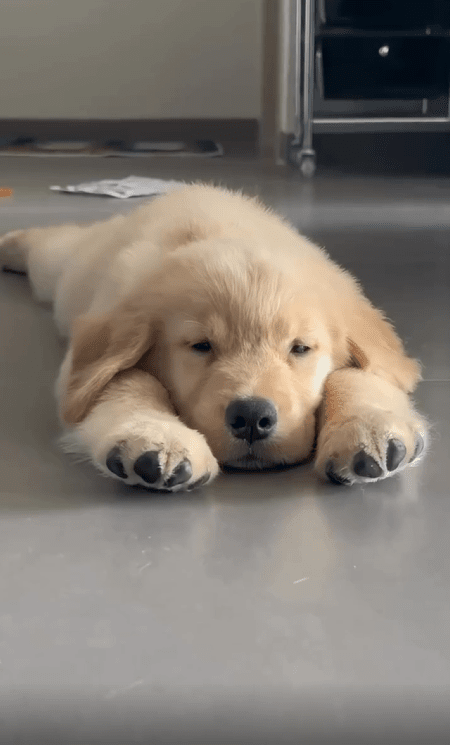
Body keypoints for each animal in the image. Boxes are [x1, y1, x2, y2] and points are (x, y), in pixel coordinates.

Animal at [0, 183, 427, 491]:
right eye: (201, 346)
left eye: (300, 348)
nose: (252, 417)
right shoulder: (90, 356)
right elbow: (125, 379)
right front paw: (156, 437)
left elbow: (357, 374)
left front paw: (369, 427)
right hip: (63, 271)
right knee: (52, 244)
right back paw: (10, 244)